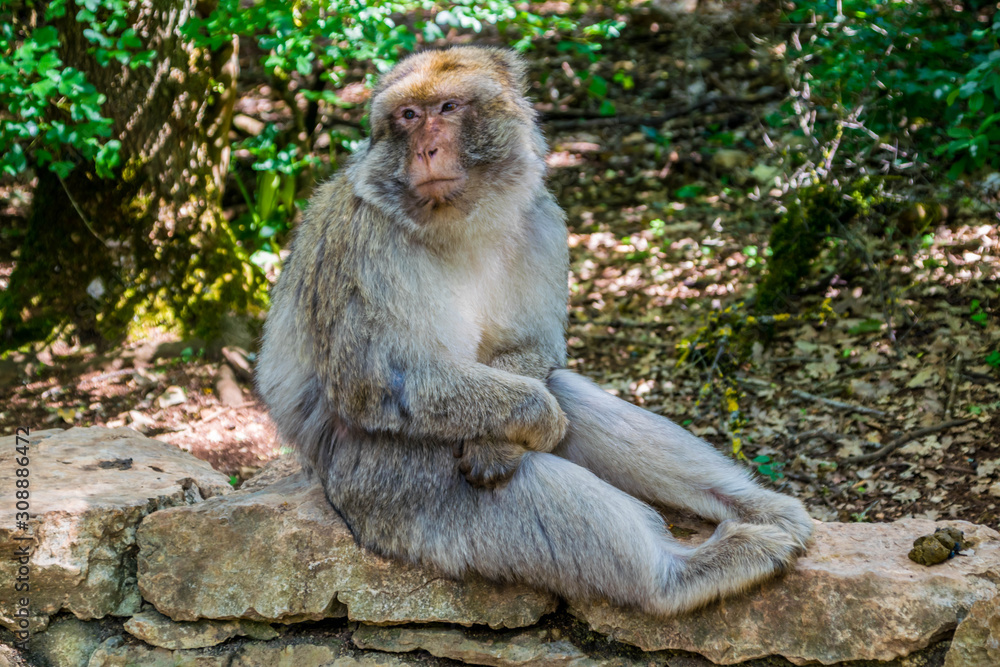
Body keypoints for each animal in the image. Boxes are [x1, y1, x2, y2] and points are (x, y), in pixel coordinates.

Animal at [256, 45, 814, 617]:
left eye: (448, 107)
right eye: (408, 116)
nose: (427, 149)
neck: (452, 221)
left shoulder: (541, 221)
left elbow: (529, 348)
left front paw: (501, 443)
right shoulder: (362, 238)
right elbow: (378, 383)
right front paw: (533, 425)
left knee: (561, 390)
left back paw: (756, 509)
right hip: (388, 489)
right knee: (517, 474)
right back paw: (678, 578)